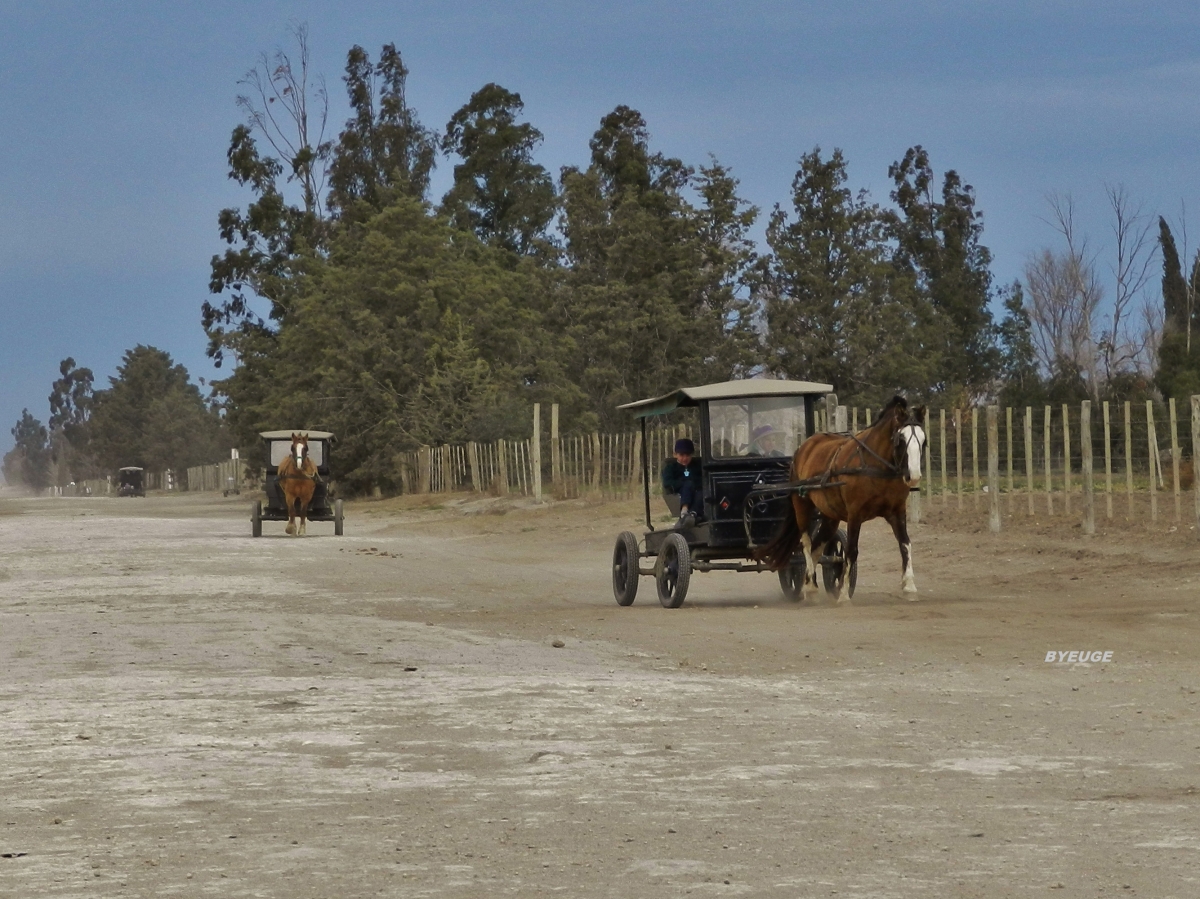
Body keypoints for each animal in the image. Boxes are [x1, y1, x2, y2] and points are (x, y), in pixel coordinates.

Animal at [758, 393, 926, 600]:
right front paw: (844, 593)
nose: (914, 476)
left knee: (817, 547)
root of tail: (803, 448)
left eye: (923, 440)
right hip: (802, 506)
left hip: (830, 515)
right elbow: (851, 551)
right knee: (806, 543)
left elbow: (905, 544)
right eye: (900, 439)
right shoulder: (855, 514)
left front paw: (909, 586)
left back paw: (809, 584)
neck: (874, 466)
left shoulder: (897, 511)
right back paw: (810, 586)